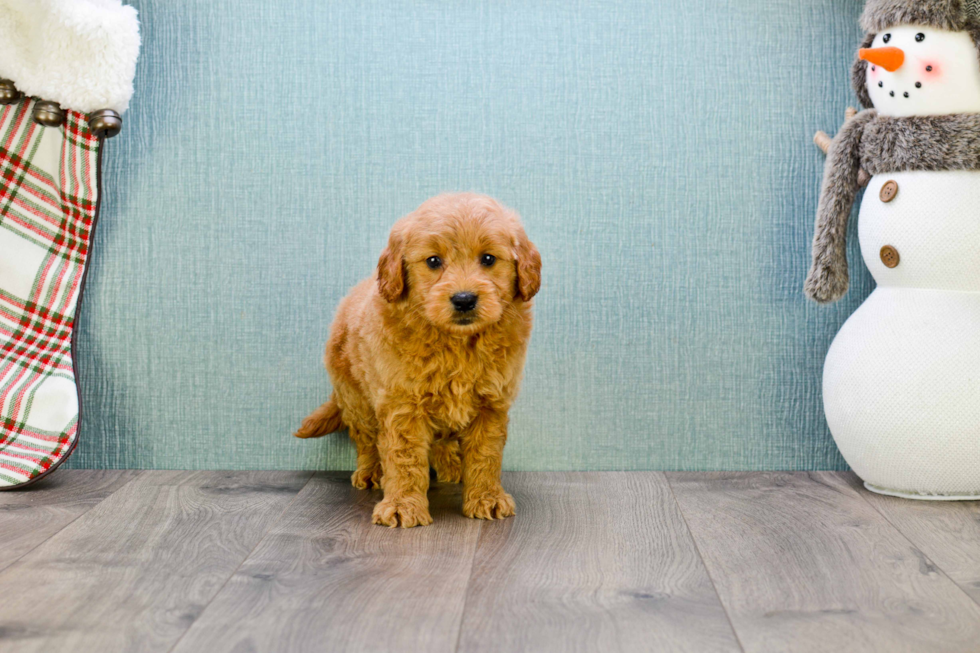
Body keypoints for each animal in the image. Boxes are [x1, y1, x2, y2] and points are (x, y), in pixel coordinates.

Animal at [298, 190, 544, 524]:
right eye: (433, 261)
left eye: (488, 259)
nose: (464, 299)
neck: (456, 342)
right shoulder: (402, 403)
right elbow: (404, 458)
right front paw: (403, 505)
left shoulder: (491, 403)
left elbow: (486, 455)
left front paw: (486, 497)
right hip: (356, 399)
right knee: (366, 440)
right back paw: (371, 472)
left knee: (442, 440)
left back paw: (452, 468)